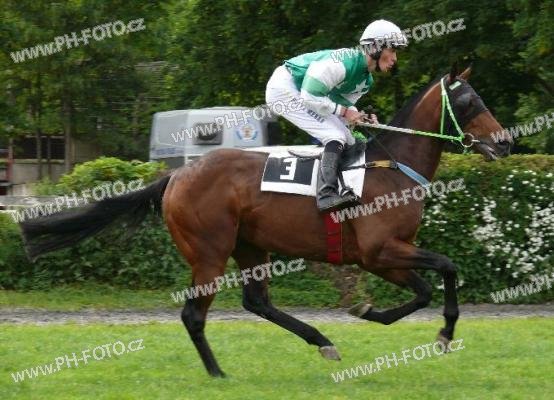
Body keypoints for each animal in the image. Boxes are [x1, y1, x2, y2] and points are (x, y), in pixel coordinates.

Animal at [20, 64, 512, 377]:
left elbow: (426, 289)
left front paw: (371, 311)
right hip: (210, 252)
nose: (505, 142)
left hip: (250, 246)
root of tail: (176, 175)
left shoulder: (384, 257)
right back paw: (218, 374)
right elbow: (446, 268)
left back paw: (321, 342)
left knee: (256, 302)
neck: (391, 166)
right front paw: (443, 332)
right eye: (469, 101)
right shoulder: (380, 252)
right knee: (194, 314)